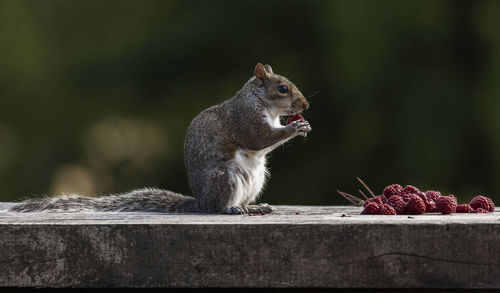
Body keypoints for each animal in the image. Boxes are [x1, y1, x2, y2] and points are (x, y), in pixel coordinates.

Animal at [9, 64, 310, 213]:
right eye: (282, 89)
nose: (305, 105)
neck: (258, 101)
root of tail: (199, 200)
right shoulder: (244, 119)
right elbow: (260, 137)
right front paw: (295, 129)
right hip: (225, 177)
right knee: (216, 207)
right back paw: (230, 210)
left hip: (255, 180)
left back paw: (255, 206)